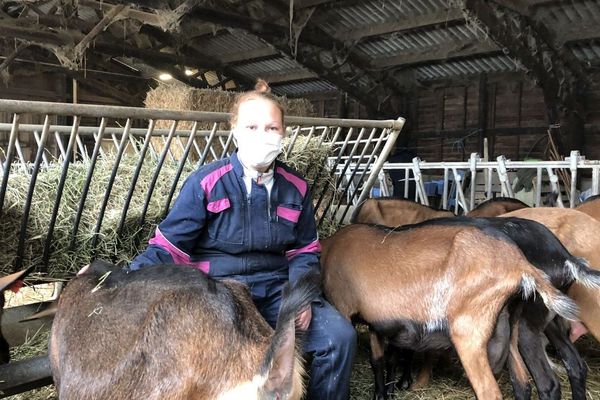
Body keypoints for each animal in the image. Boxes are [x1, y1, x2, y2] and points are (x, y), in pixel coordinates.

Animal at [318, 223, 576, 398]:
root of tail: (520, 265)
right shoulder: (377, 323)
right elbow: (379, 360)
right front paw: (384, 393)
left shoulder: (345, 309)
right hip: (510, 328)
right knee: (523, 384)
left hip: (469, 333)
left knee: (489, 392)